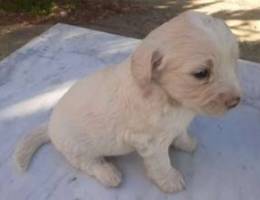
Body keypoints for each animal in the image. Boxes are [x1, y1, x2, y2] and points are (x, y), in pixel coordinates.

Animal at [13, 10, 242, 192]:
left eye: (233, 62)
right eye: (201, 73)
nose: (236, 102)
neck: (168, 97)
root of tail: (49, 126)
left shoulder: (175, 124)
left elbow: (181, 133)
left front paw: (187, 143)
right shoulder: (150, 142)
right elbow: (161, 163)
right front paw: (170, 181)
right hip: (76, 148)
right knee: (88, 163)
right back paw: (109, 174)